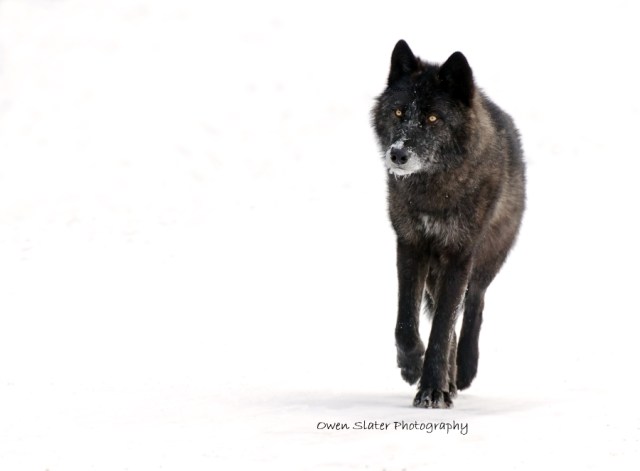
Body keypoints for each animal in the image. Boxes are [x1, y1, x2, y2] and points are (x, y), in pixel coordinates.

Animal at [371, 40, 526, 408]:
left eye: (432, 118)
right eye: (399, 112)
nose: (398, 154)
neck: (433, 191)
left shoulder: (459, 255)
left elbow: (442, 326)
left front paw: (431, 389)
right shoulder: (411, 246)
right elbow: (406, 323)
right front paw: (412, 366)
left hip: (486, 261)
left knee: (474, 305)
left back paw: (464, 369)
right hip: (435, 271)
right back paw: (449, 379)